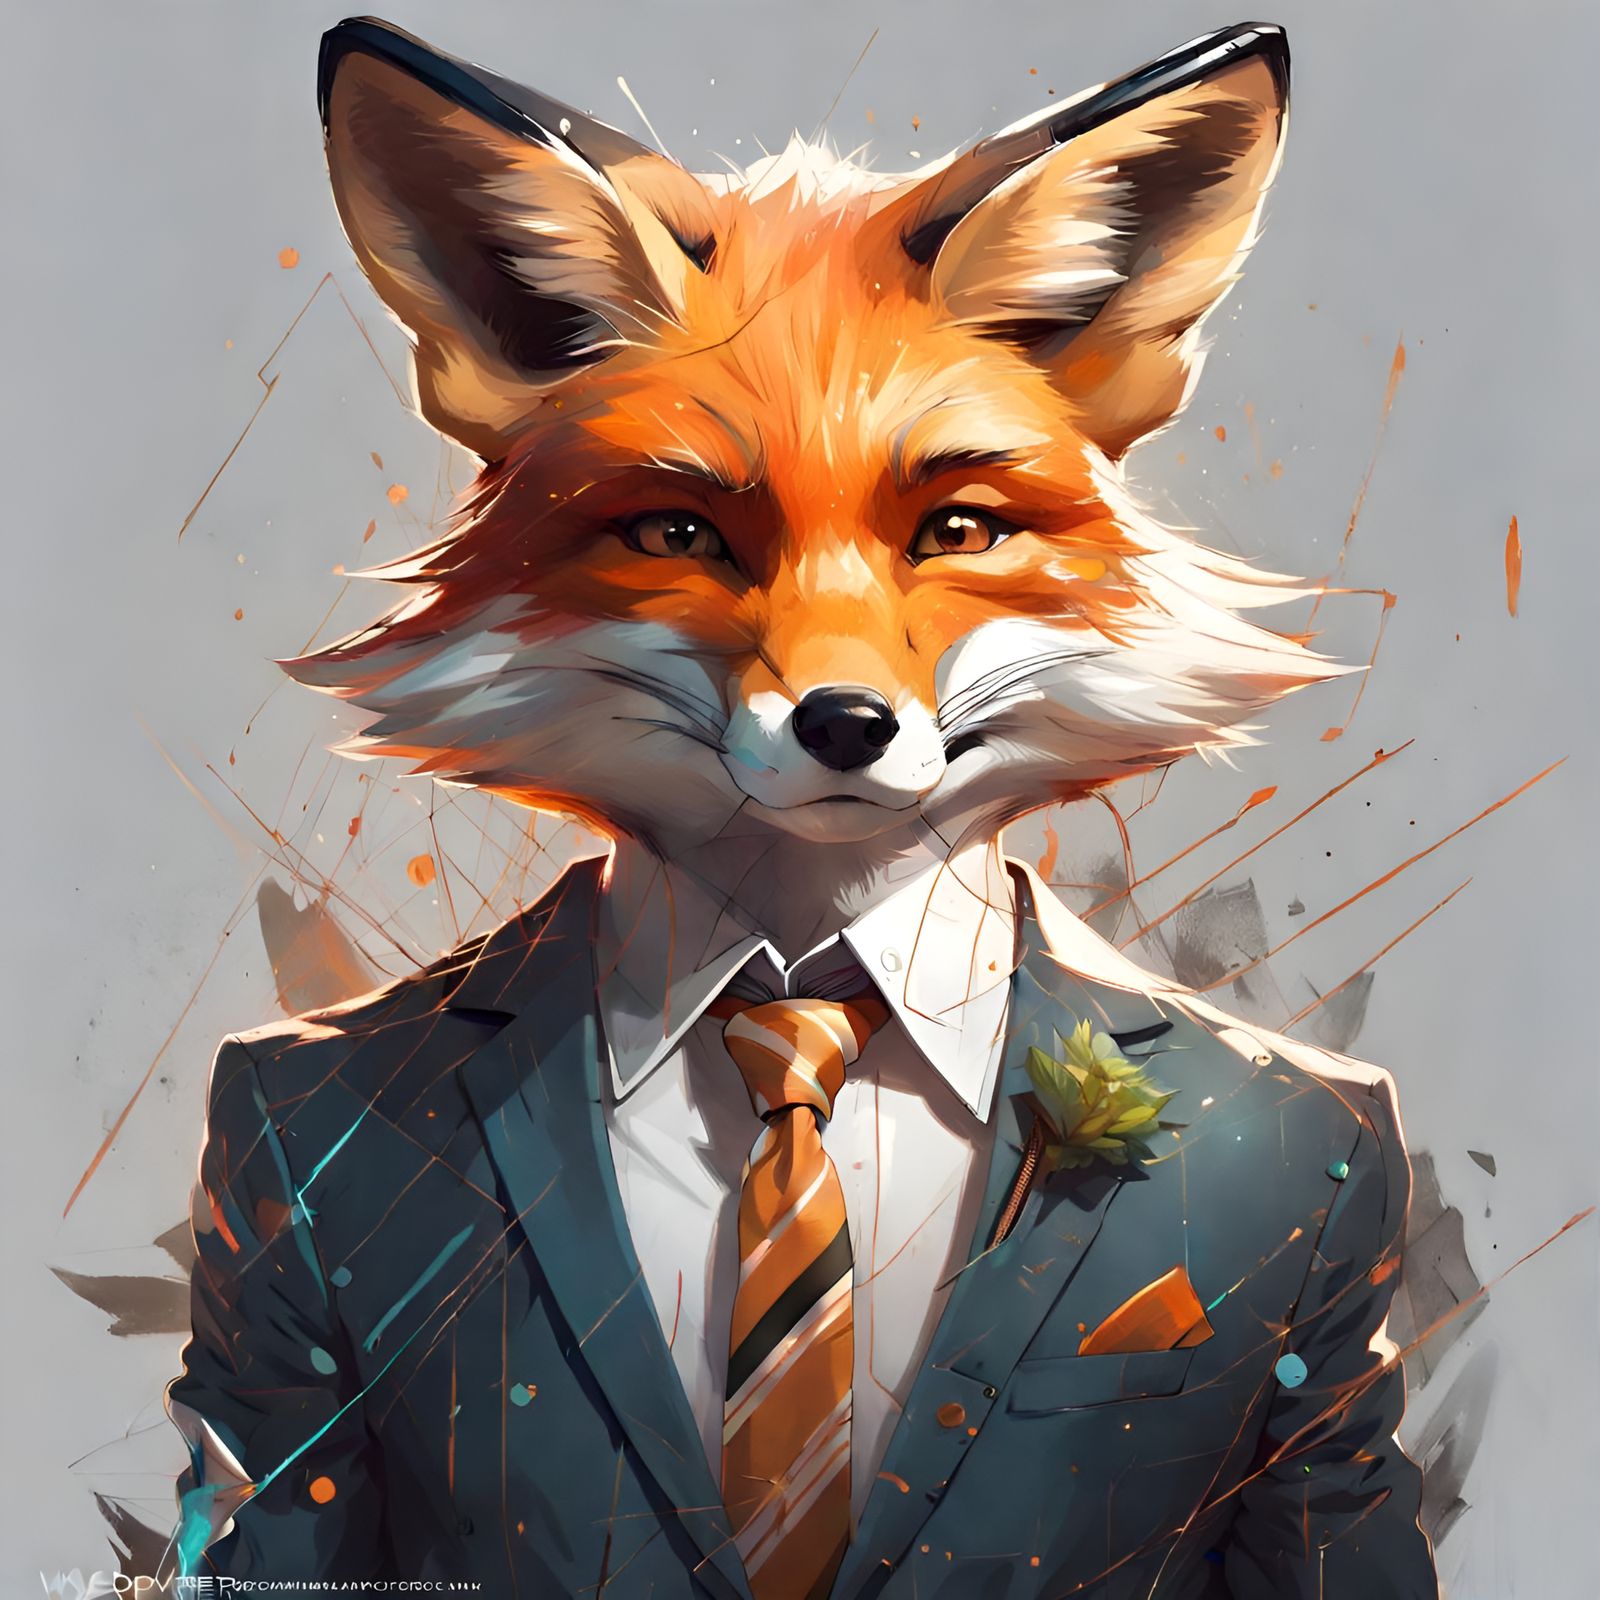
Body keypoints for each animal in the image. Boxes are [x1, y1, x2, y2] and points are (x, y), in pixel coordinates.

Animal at [166, 17, 1437, 1599]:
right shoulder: (275, 1361)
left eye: (954, 530)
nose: (846, 727)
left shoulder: (1325, 1413)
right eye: (680, 533)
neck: (806, 970)